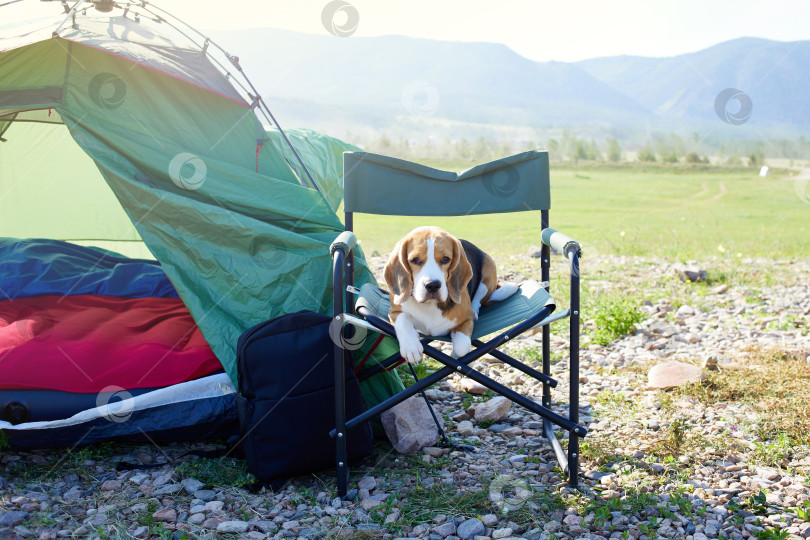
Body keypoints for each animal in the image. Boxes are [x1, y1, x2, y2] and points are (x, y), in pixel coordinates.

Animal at [384, 224, 516, 362]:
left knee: (478, 300)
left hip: (488, 270)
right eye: (415, 260)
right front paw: (411, 347)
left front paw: (460, 356)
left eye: (445, 259)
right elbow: (403, 319)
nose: (433, 285)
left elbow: (462, 348)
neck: (430, 305)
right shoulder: (393, 311)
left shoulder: (466, 319)